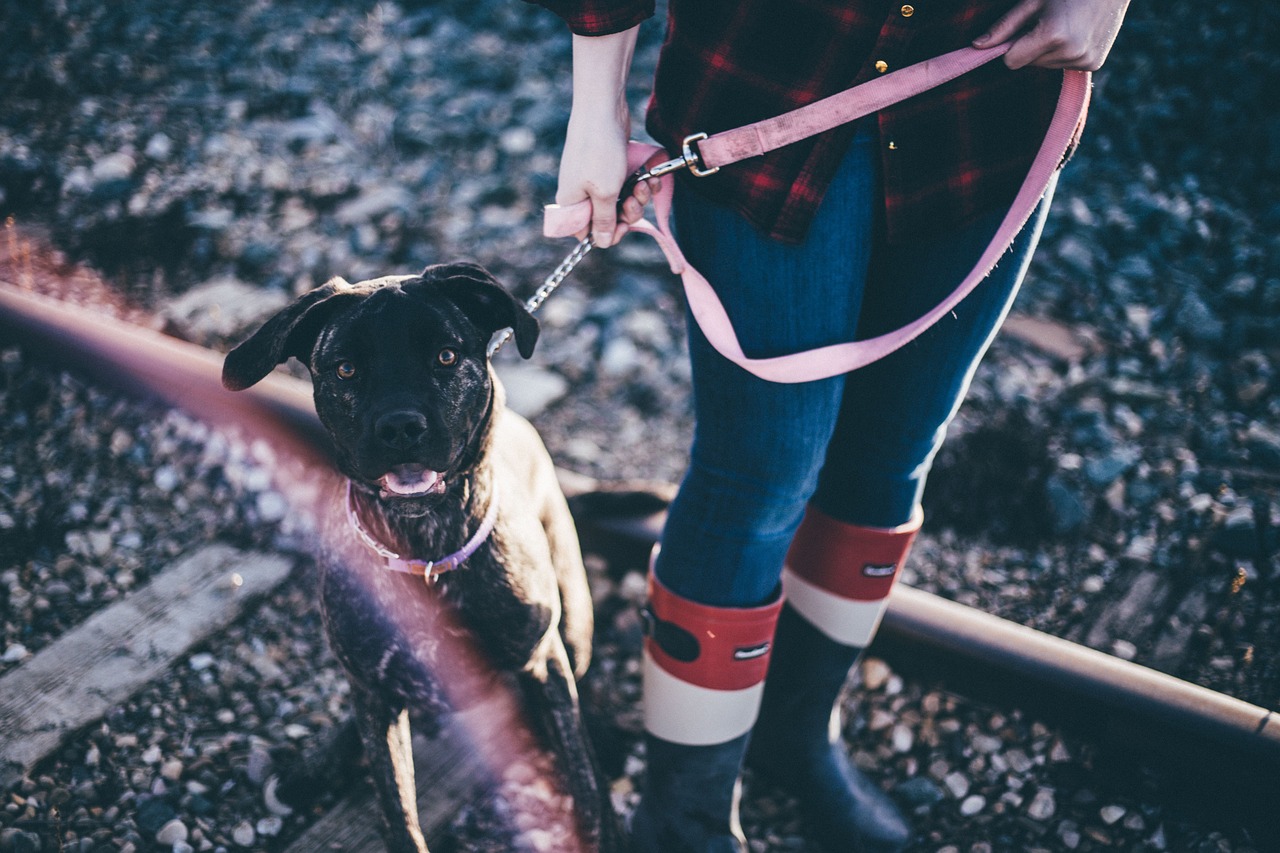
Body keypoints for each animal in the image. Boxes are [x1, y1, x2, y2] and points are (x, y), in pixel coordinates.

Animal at [226, 262, 624, 845]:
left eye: (446, 356)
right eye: (345, 369)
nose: (400, 427)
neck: (426, 549)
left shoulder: (543, 659)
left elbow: (585, 780)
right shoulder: (377, 699)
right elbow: (398, 811)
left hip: (572, 622)